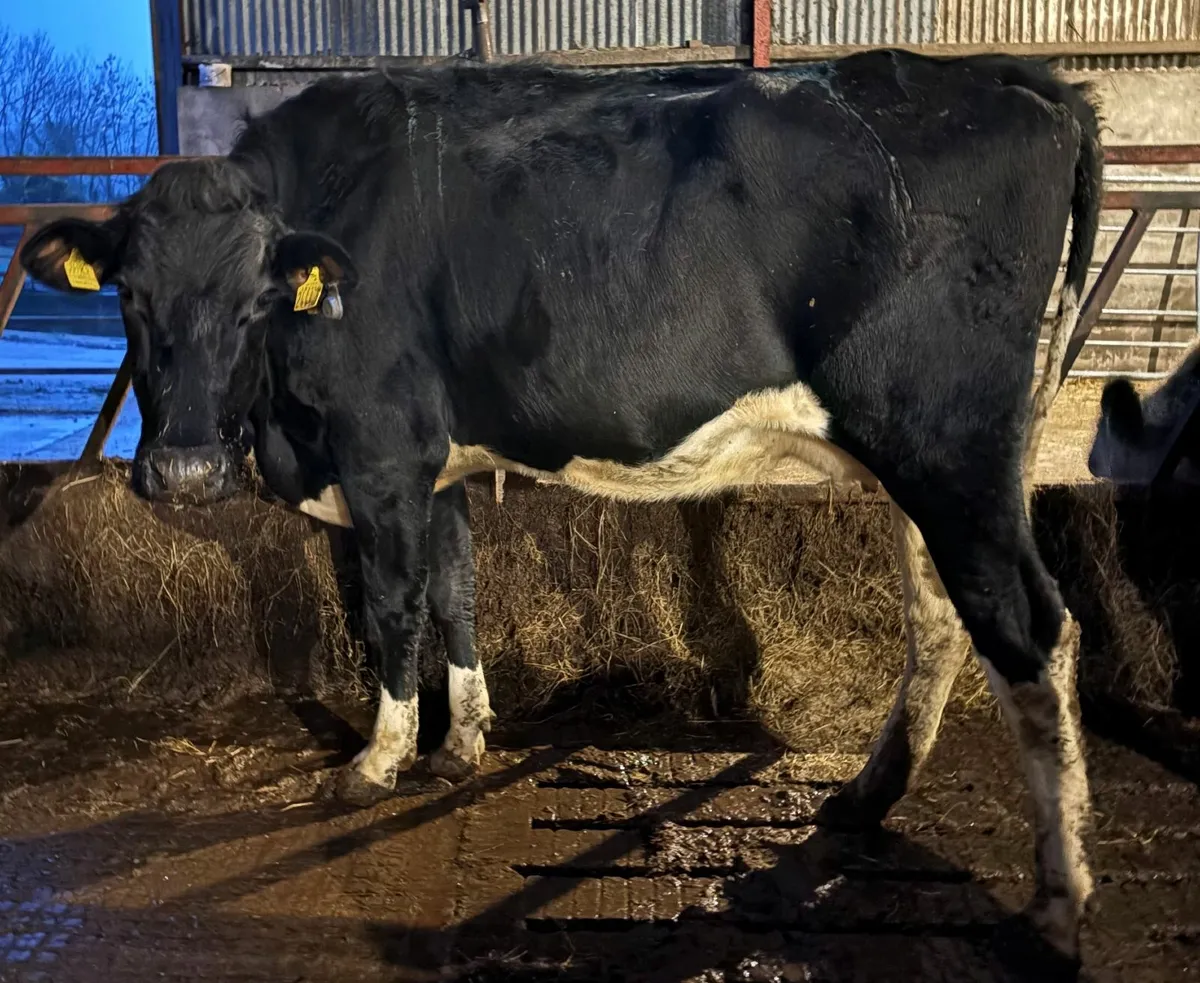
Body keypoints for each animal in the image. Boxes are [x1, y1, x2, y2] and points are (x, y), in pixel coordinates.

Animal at [20, 50, 1101, 961]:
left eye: (258, 300)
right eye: (128, 296)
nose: (186, 471)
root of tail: (1020, 78)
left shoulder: (383, 452)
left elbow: (392, 608)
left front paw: (377, 758)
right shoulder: (441, 466)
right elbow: (456, 593)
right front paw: (462, 742)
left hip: (947, 444)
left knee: (1032, 628)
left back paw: (1058, 897)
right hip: (929, 464)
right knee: (944, 617)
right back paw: (867, 798)